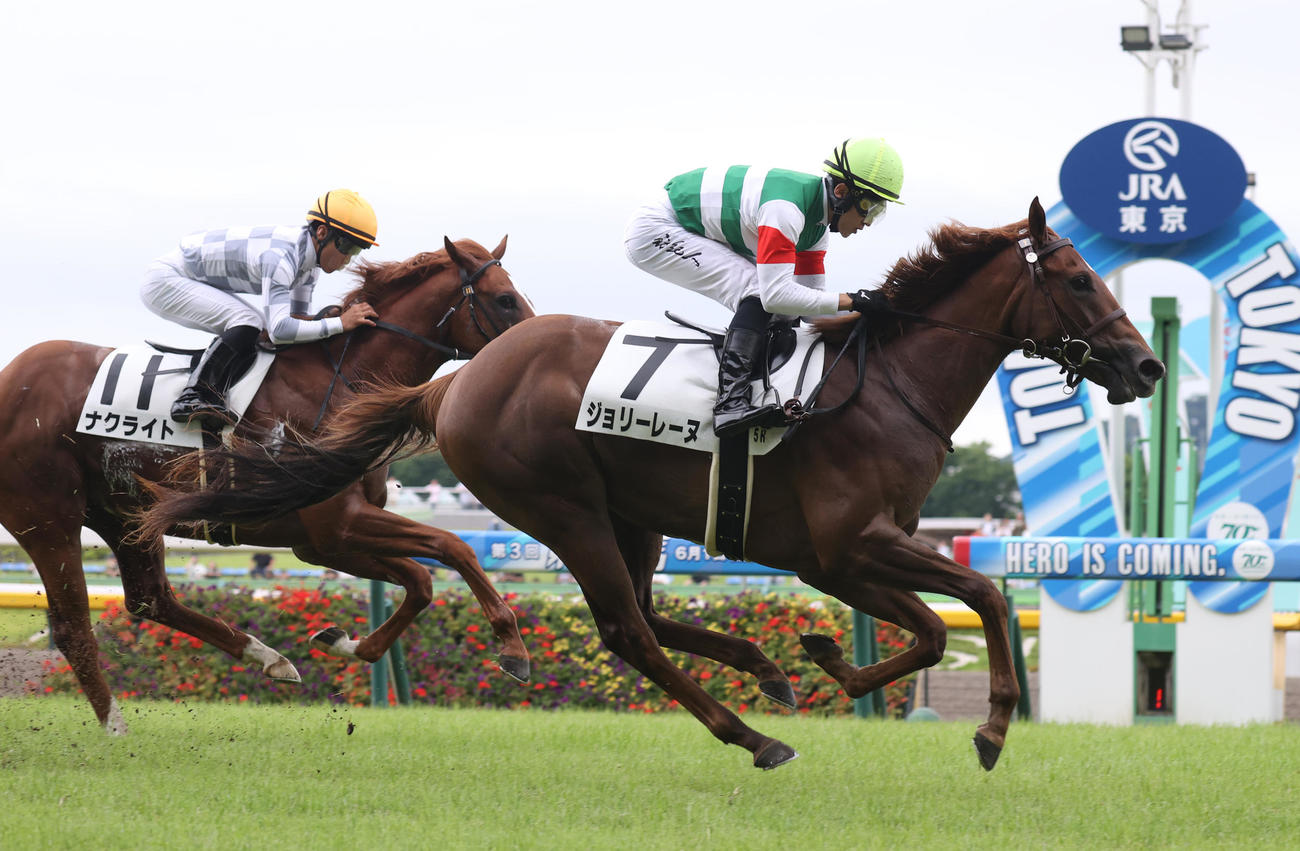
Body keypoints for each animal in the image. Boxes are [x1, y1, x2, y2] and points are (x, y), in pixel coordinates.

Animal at [0, 236, 536, 734]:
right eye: (505, 299)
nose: (527, 344)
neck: (342, 382)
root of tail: (11, 378)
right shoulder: (339, 521)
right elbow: (452, 546)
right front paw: (512, 647)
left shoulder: (321, 541)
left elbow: (420, 581)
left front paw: (344, 642)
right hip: (48, 518)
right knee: (72, 624)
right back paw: (115, 726)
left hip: (126, 516)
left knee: (150, 599)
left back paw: (268, 657)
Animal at [136, 199, 1164, 769]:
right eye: (1078, 278)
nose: (1147, 367)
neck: (885, 384)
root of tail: (457, 379)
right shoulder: (848, 547)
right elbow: (978, 598)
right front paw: (988, 728)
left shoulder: (855, 554)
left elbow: (931, 627)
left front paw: (823, 659)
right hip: (563, 508)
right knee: (625, 629)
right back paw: (752, 734)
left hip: (628, 513)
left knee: (641, 613)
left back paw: (760, 673)